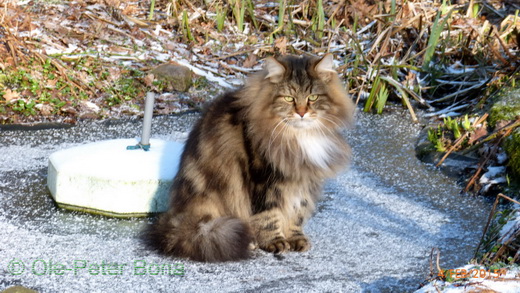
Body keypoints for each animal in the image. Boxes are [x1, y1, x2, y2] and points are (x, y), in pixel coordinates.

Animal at [146, 53, 356, 262]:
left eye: (312, 97)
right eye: (289, 98)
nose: (302, 113)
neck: (297, 137)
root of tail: (180, 220)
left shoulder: (302, 180)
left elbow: (297, 212)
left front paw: (295, 238)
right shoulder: (264, 180)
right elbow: (269, 216)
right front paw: (275, 242)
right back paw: (249, 241)